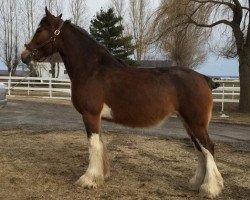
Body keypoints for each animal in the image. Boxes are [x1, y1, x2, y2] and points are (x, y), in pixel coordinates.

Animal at [21, 7, 225, 198]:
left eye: (39, 30)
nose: (24, 56)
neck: (92, 70)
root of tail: (204, 78)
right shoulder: (96, 117)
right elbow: (100, 143)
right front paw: (101, 176)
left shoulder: (90, 114)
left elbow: (93, 145)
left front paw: (88, 179)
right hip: (188, 123)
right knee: (200, 150)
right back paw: (196, 183)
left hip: (195, 123)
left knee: (208, 148)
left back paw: (210, 188)